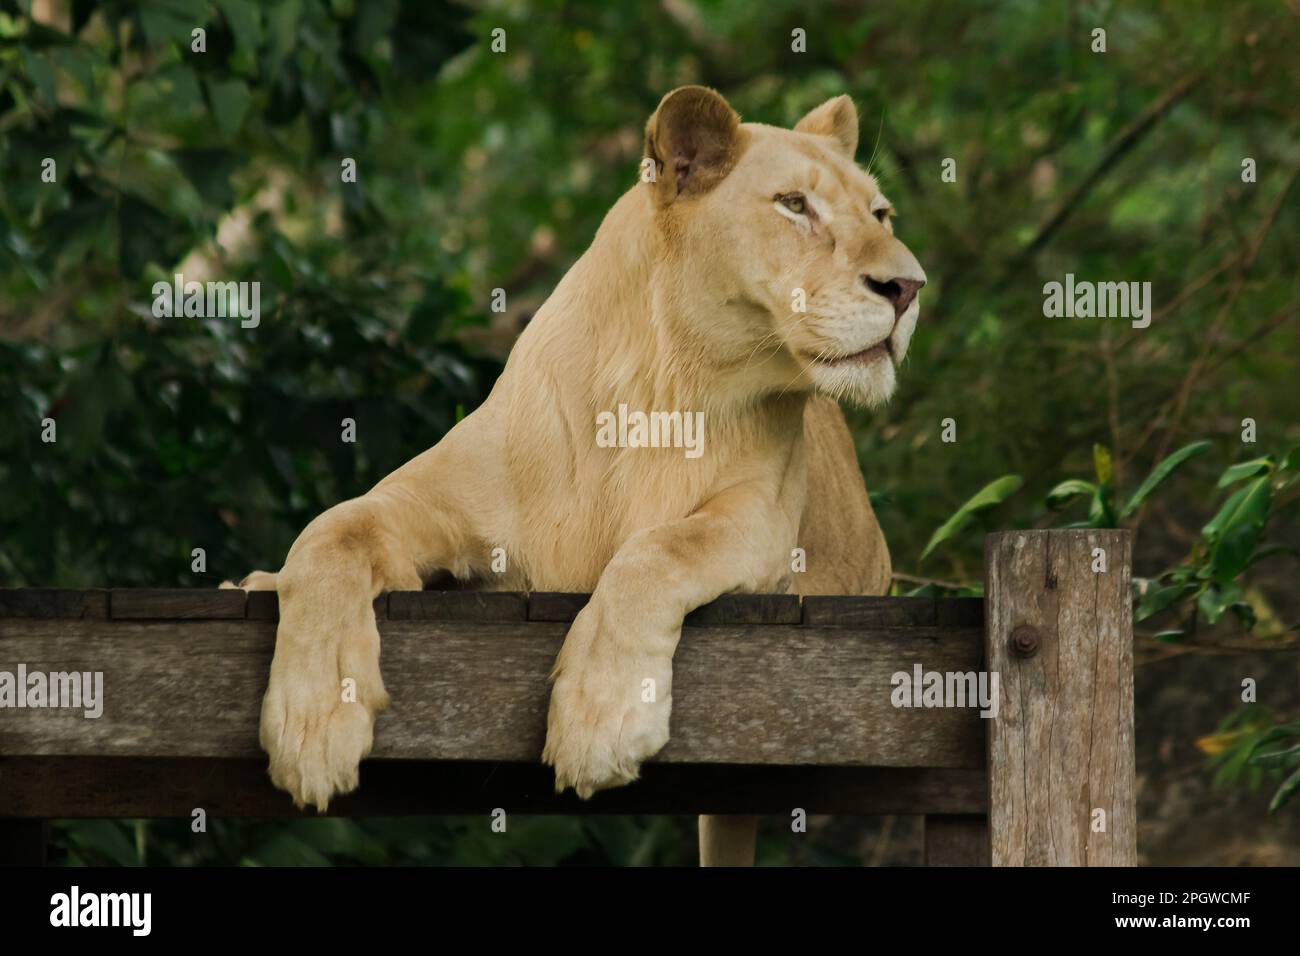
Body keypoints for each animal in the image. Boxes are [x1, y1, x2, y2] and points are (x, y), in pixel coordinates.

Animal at [228, 86, 926, 866]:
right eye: (795, 205)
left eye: (880, 215)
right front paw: (313, 721)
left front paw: (601, 719)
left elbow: (656, 550)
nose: (908, 287)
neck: (671, 385)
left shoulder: (766, 525)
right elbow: (330, 534)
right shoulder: (427, 501)